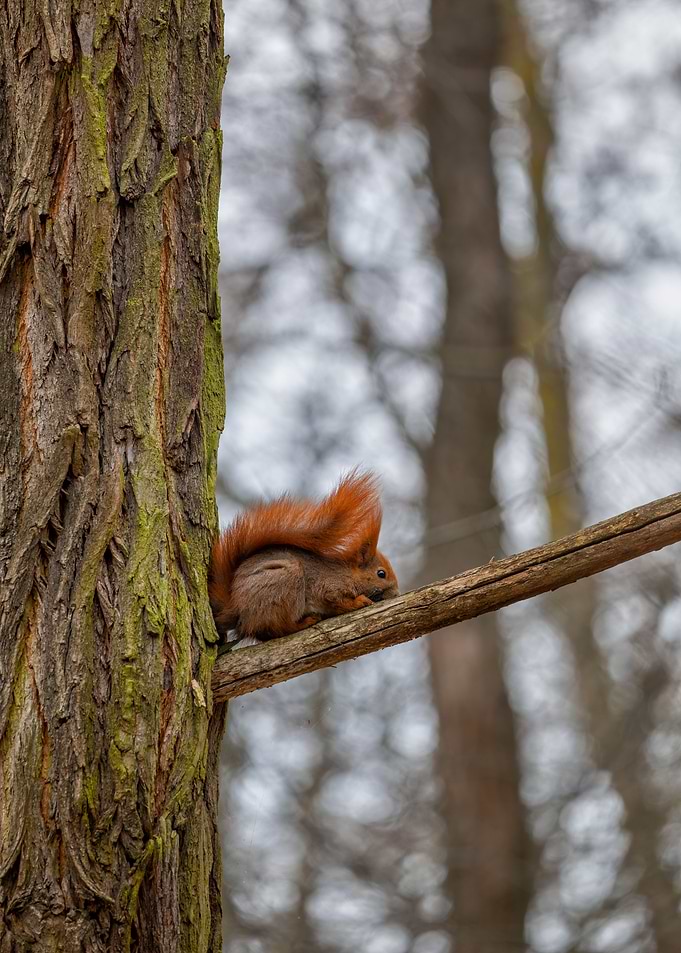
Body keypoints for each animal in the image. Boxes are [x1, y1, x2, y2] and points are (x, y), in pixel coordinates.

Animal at [209, 471, 399, 644]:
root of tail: (235, 607)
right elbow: (337, 602)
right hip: (284, 584)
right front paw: (359, 601)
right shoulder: (329, 587)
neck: (348, 573)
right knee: (280, 628)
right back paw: (305, 622)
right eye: (381, 574)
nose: (396, 594)